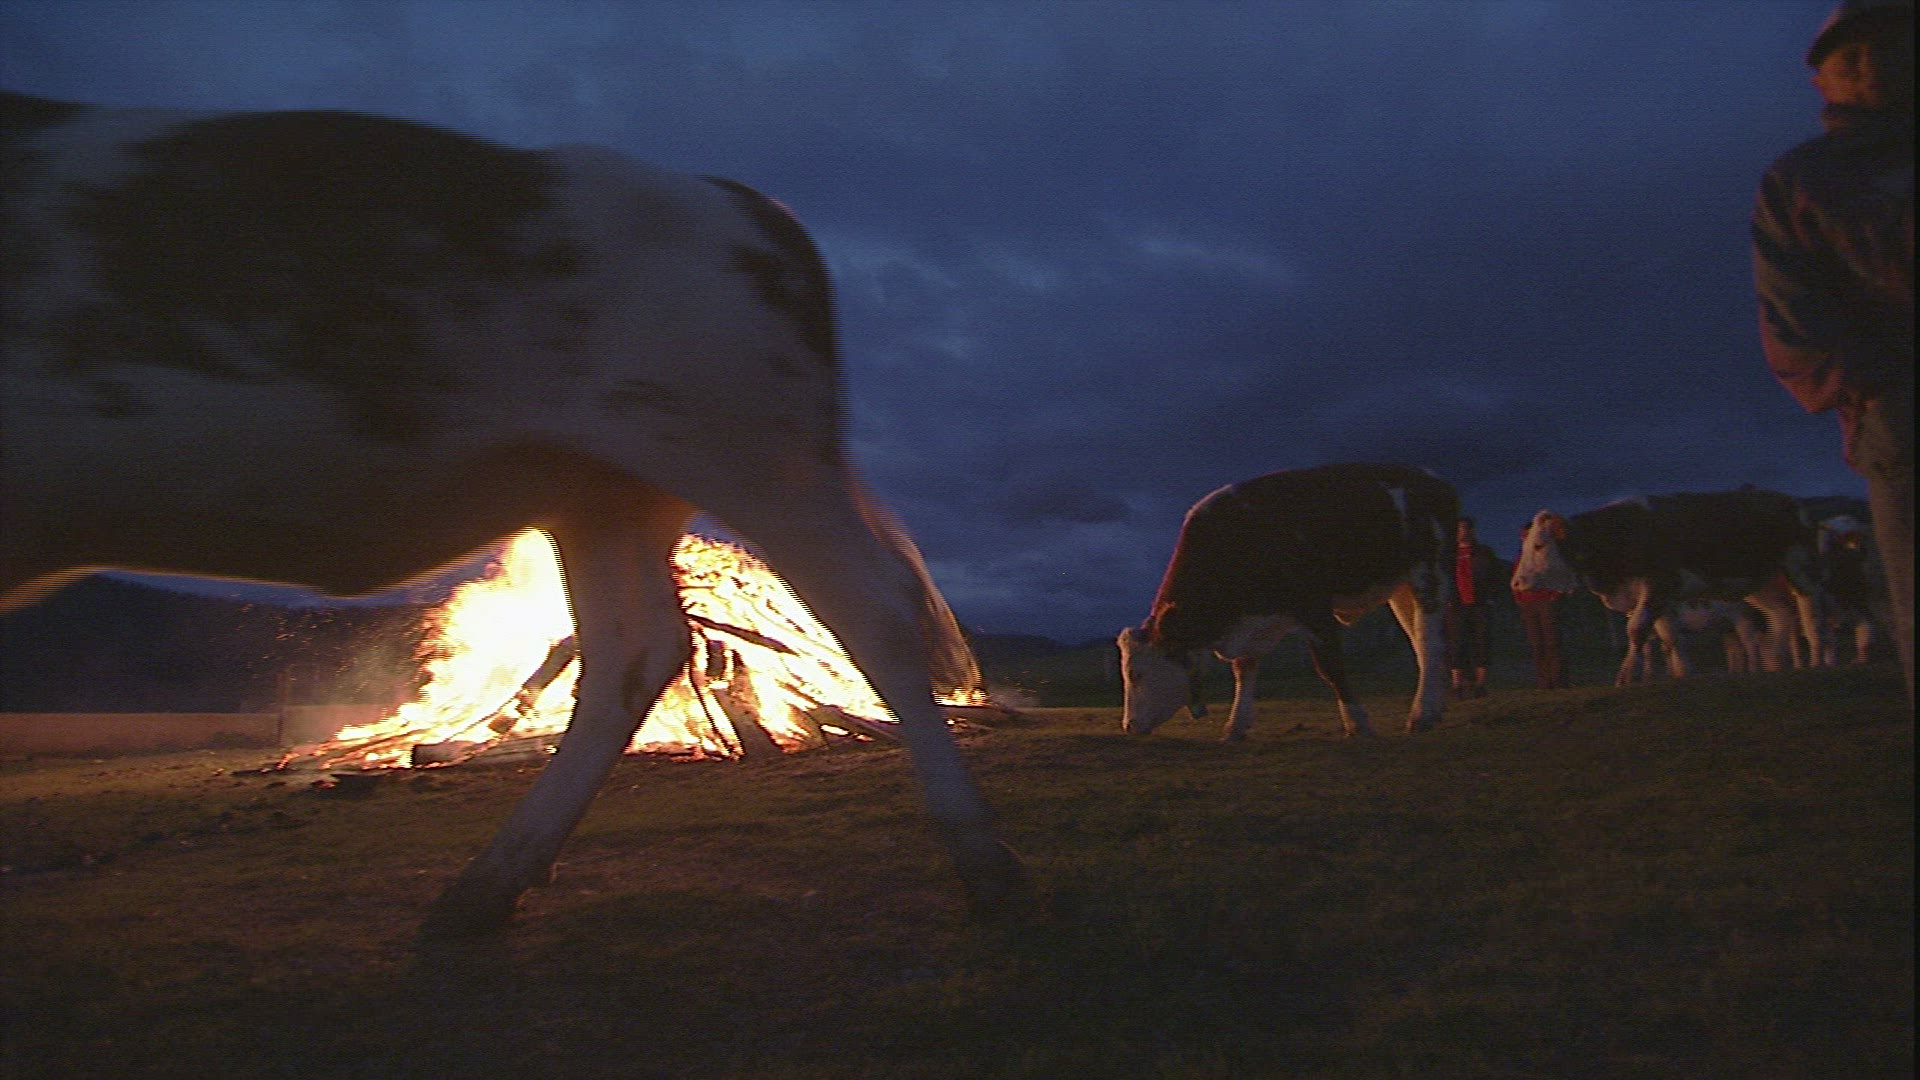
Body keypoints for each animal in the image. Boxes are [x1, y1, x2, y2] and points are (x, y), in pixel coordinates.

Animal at [0, 92, 1025, 932]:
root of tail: (737, 199)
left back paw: (985, 861)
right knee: (637, 649)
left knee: (873, 619)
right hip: (606, 491)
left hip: (759, 458)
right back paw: (486, 885)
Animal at [1117, 463, 1457, 740]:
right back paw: (1434, 708)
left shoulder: (1314, 609)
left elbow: (1330, 667)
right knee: (1420, 642)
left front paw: (1357, 722)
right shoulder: (1252, 625)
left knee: (1431, 641)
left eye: (1135, 674)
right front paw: (1235, 726)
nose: (1129, 725)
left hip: (1430, 572)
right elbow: (1244, 669)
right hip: (1401, 590)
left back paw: (1422, 714)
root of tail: (1429, 477)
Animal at [1510, 490, 1829, 687]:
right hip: (1762, 584)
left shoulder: (1658, 585)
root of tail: (1790, 501)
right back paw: (1776, 660)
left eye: (1539, 545)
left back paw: (1817, 660)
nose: (1516, 583)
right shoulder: (1658, 599)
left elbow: (1637, 630)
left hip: (1800, 568)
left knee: (1810, 616)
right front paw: (1683, 674)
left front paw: (1626, 676)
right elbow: (1670, 638)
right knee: (1782, 615)